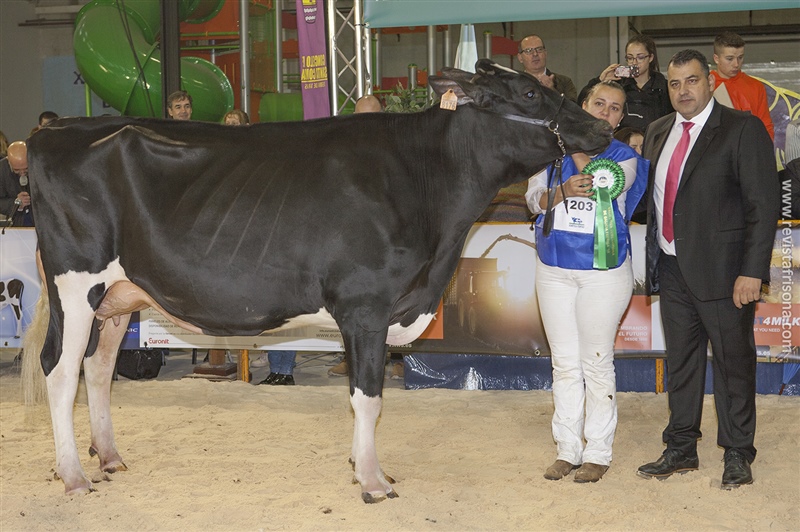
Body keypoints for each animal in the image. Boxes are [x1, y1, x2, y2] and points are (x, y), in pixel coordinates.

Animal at [21, 60, 608, 500]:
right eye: (530, 93)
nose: (602, 128)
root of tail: (55, 130)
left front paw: (366, 467)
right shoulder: (366, 305)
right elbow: (368, 396)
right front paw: (372, 481)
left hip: (117, 297)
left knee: (97, 369)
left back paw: (110, 458)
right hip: (76, 284)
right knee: (60, 370)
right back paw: (73, 475)